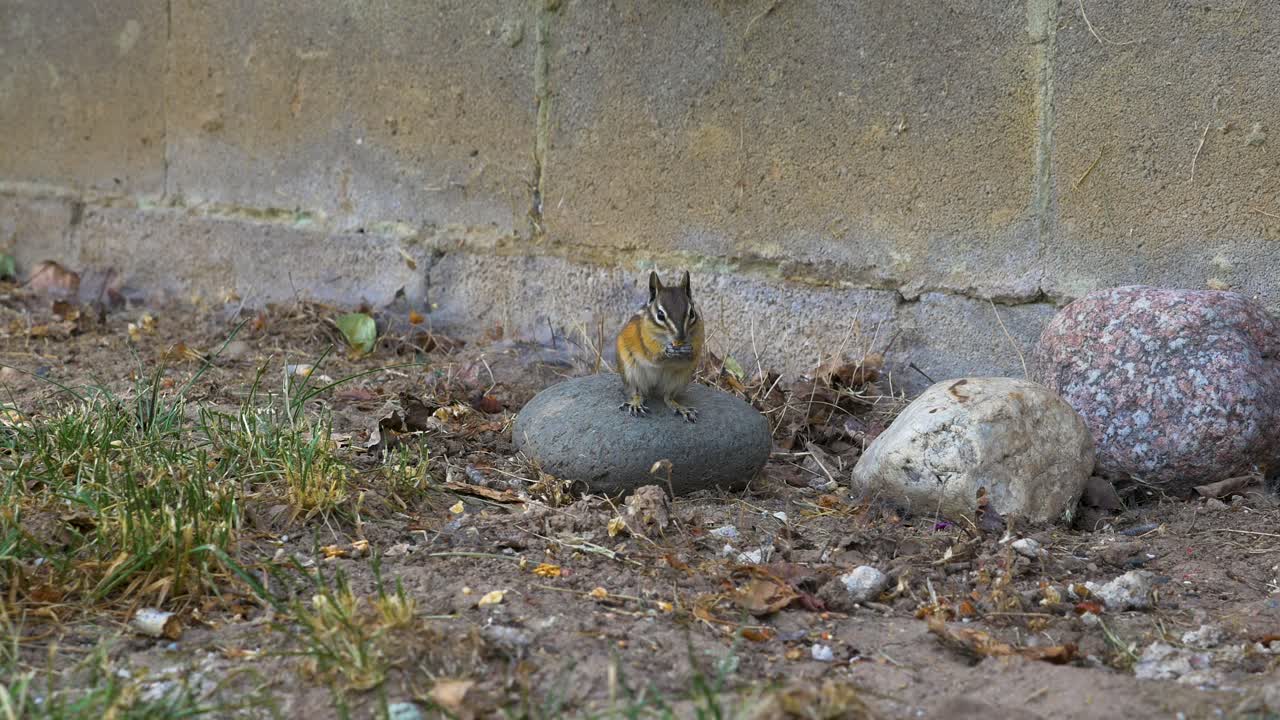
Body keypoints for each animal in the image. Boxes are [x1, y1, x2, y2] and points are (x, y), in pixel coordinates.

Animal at [614, 270, 705, 422]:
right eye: (660, 315)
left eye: (692, 313)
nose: (680, 337)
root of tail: (654, 387)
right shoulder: (646, 340)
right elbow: (654, 356)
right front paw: (667, 351)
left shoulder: (699, 334)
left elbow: (694, 353)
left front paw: (688, 350)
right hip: (631, 373)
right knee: (637, 392)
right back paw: (636, 404)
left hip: (679, 380)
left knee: (668, 398)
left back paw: (681, 408)